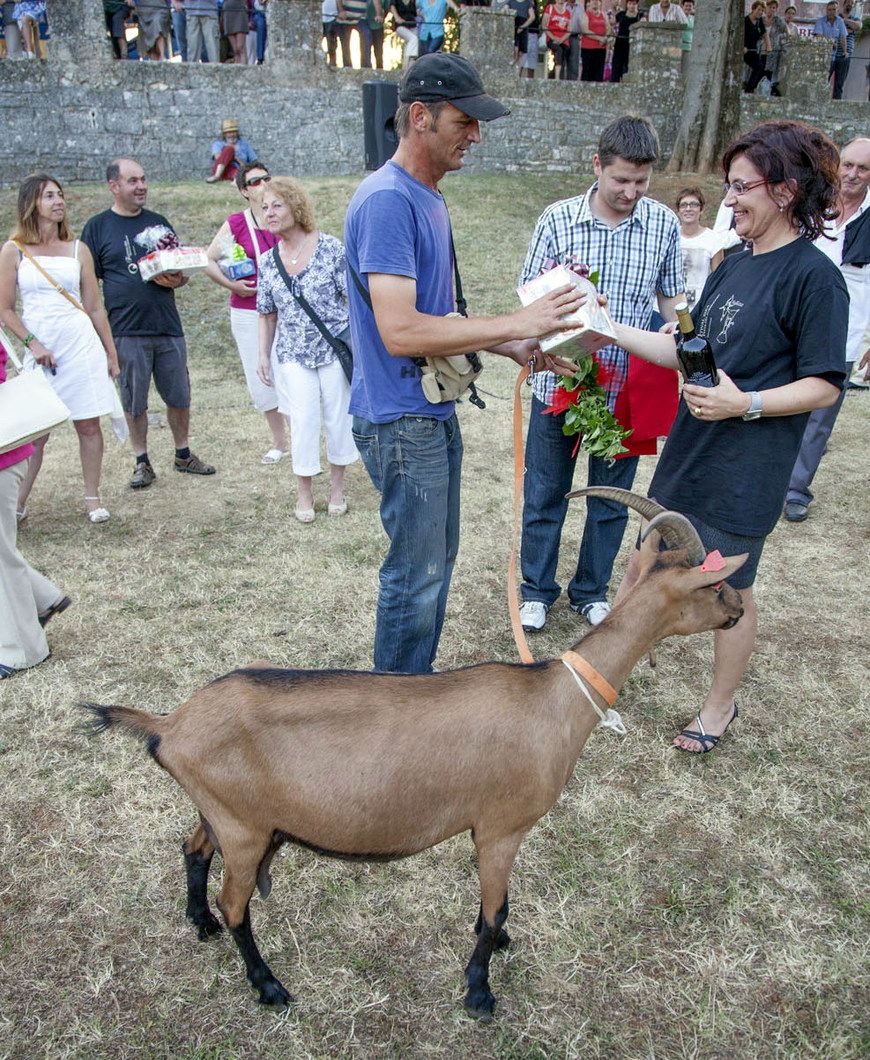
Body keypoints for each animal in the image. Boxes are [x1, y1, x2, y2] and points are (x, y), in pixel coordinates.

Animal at [83, 491, 746, 1021]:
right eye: (714, 584)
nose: (738, 610)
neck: (555, 697)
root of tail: (170, 724)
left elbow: (497, 909)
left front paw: (501, 946)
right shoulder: (500, 828)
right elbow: (491, 908)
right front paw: (479, 992)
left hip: (224, 812)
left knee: (194, 850)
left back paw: (199, 924)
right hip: (245, 830)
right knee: (236, 903)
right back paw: (268, 986)